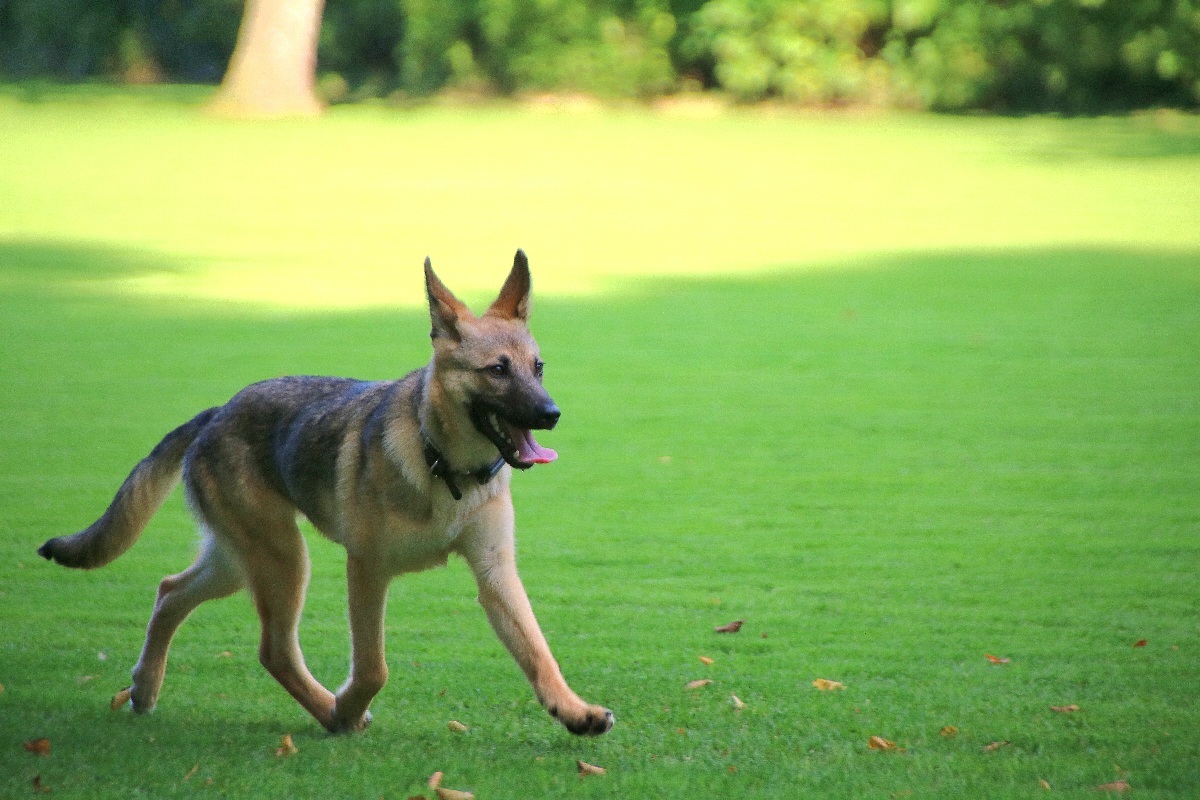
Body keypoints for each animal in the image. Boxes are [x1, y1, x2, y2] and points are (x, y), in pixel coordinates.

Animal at [37, 251, 614, 738]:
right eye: (497, 370)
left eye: (538, 368)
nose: (551, 415)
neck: (443, 467)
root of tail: (217, 412)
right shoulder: (368, 570)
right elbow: (374, 667)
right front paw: (348, 708)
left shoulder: (495, 574)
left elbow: (538, 653)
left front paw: (574, 711)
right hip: (281, 559)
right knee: (273, 650)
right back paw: (327, 713)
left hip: (241, 561)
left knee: (170, 592)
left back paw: (145, 687)